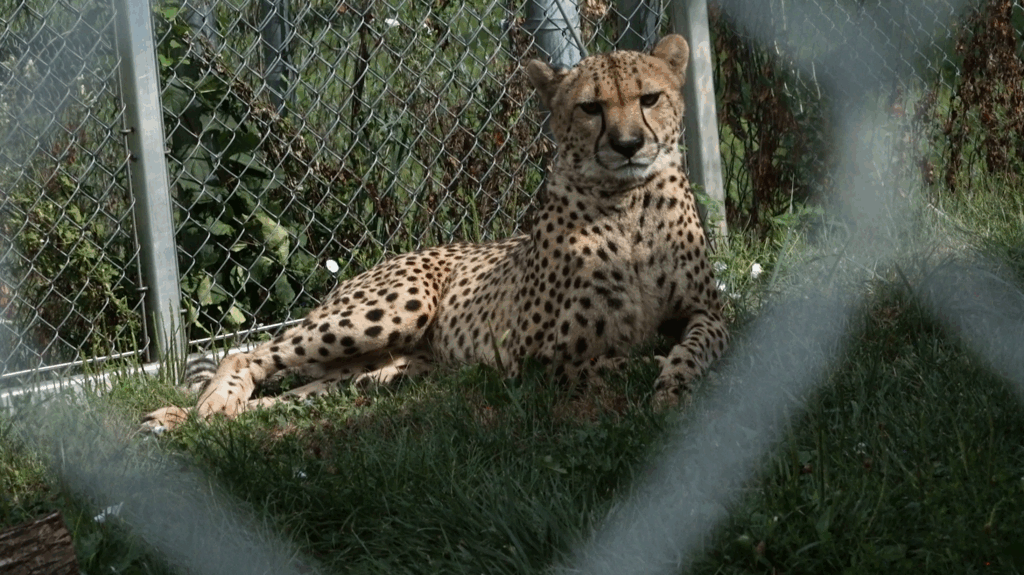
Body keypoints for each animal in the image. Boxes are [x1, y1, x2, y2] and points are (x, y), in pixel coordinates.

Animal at [141, 34, 728, 432]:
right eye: (590, 108)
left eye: (649, 98)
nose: (629, 145)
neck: (629, 205)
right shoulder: (536, 356)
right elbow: (607, 362)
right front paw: (650, 368)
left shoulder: (707, 311)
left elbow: (703, 344)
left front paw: (675, 383)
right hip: (390, 310)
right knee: (251, 354)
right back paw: (207, 404)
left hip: (359, 369)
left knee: (287, 397)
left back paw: (188, 416)